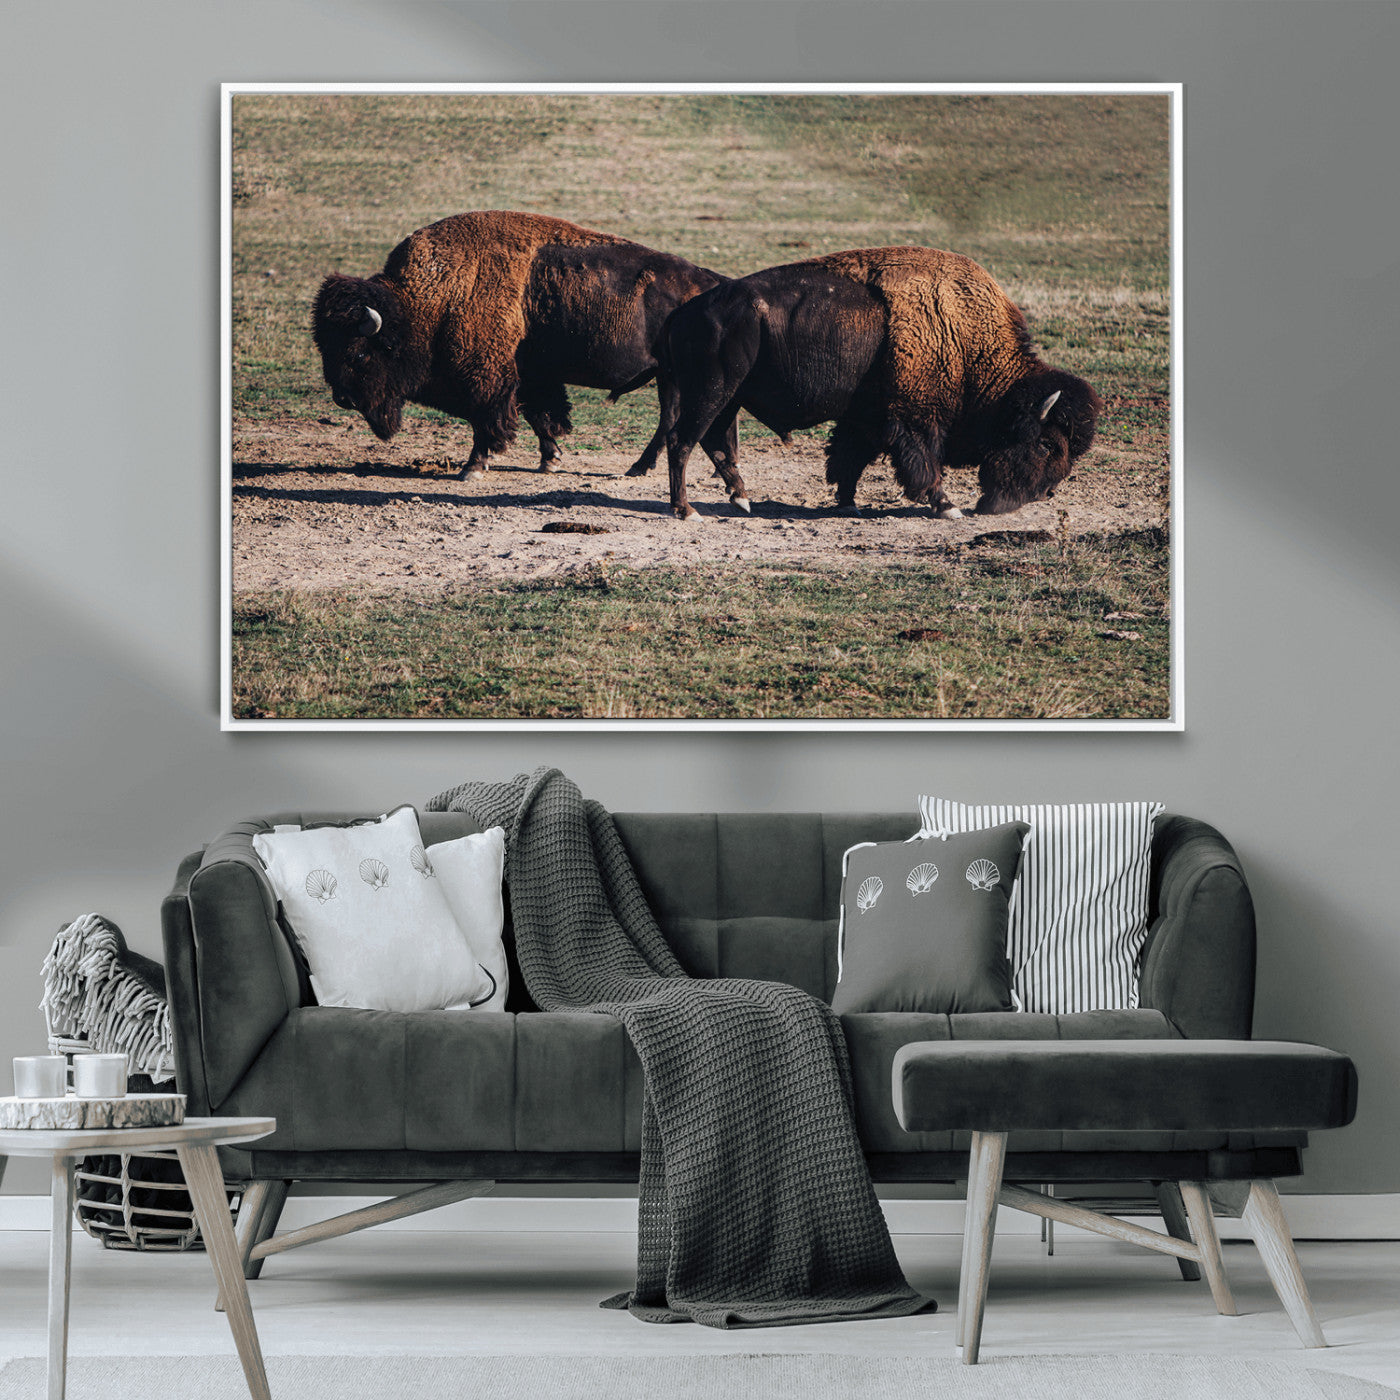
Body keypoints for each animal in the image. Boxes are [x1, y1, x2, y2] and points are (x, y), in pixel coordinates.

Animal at [312, 210, 737, 478]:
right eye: (325, 347)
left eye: (360, 352)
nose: (343, 398)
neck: (429, 300)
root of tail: (713, 282)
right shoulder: (529, 374)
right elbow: (539, 415)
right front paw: (550, 459)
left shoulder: (486, 378)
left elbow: (488, 420)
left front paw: (472, 468)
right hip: (669, 376)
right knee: (673, 417)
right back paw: (644, 468)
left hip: (674, 376)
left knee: (672, 418)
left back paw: (640, 468)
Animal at [657, 246, 1102, 520]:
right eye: (1046, 444)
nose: (1043, 494)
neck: (963, 338)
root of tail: (685, 312)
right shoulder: (914, 420)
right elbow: (923, 464)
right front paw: (948, 506)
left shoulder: (866, 418)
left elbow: (848, 458)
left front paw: (847, 504)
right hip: (711, 393)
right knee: (682, 441)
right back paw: (687, 511)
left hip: (729, 398)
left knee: (714, 442)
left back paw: (741, 499)